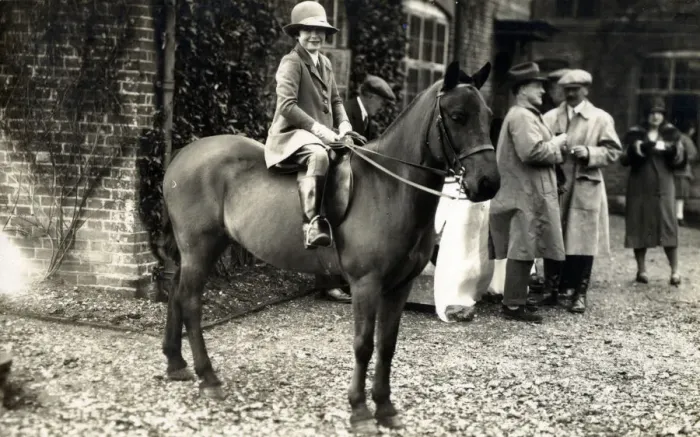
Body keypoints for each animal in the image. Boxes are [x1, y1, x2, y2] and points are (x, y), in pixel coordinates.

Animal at [154, 60, 500, 434]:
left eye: (488, 116)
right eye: (457, 116)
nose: (488, 183)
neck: (390, 186)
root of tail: (184, 153)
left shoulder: (399, 286)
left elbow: (387, 345)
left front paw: (385, 408)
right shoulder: (366, 284)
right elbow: (363, 345)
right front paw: (360, 411)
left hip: (201, 249)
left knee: (176, 293)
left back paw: (176, 363)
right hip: (199, 247)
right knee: (190, 302)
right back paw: (209, 377)